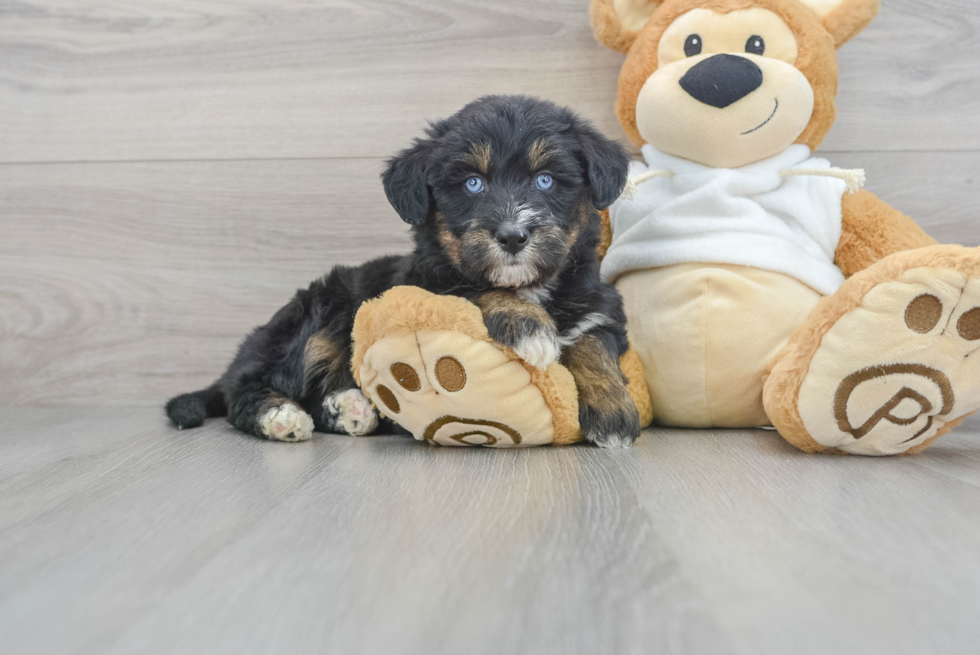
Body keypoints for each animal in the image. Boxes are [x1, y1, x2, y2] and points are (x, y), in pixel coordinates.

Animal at [165, 95, 640, 448]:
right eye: (473, 183)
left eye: (546, 180)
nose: (512, 236)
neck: (533, 285)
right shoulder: (425, 284)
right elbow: (472, 288)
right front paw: (528, 324)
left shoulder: (601, 305)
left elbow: (593, 342)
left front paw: (613, 411)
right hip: (317, 316)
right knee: (248, 388)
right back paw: (280, 416)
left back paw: (352, 409)